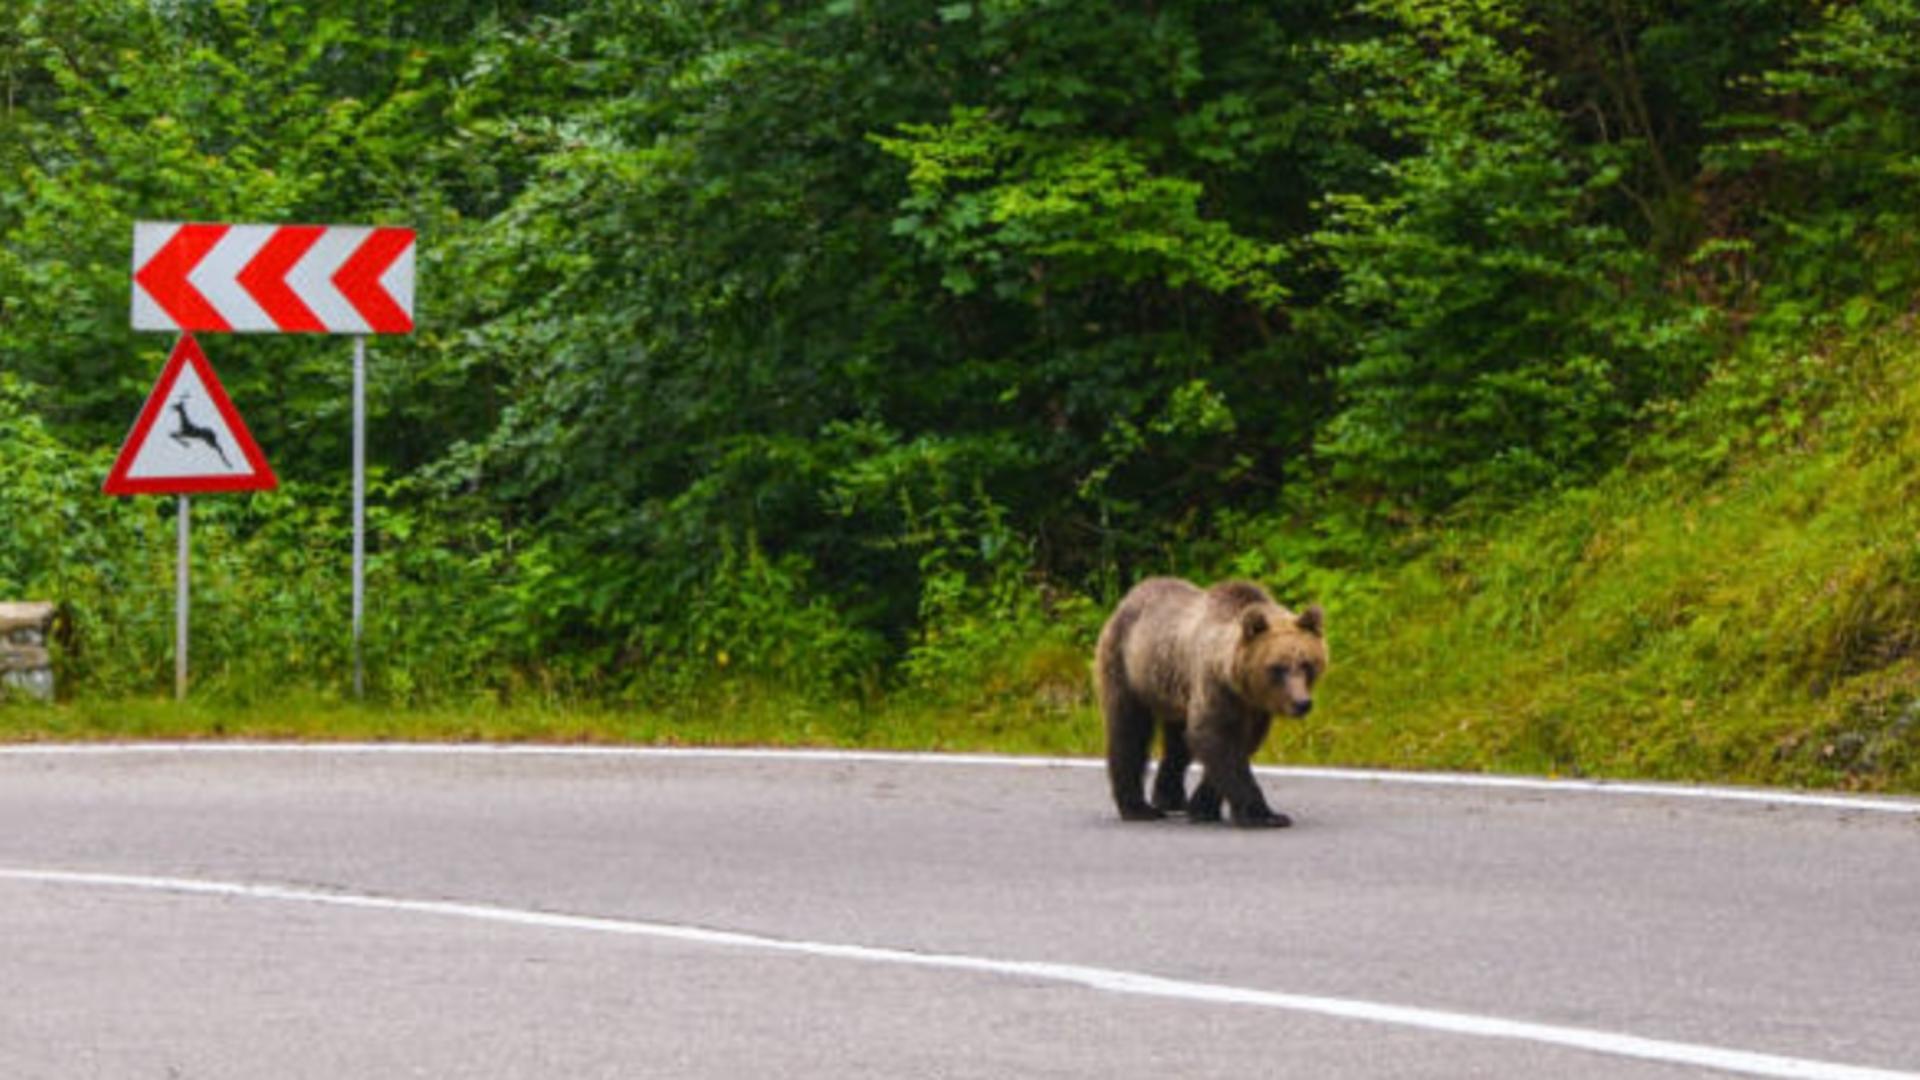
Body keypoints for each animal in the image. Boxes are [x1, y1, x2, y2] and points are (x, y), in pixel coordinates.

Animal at [1098, 580, 1320, 822]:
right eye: (1278, 668)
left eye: (1307, 664)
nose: (1302, 703)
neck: (1237, 683)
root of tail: (1129, 596)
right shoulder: (1214, 686)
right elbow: (1216, 738)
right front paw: (1265, 815)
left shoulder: (1254, 707)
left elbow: (1240, 743)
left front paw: (1202, 807)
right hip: (1127, 667)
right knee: (1129, 731)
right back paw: (1138, 808)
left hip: (1174, 689)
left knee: (1178, 744)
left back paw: (1171, 799)